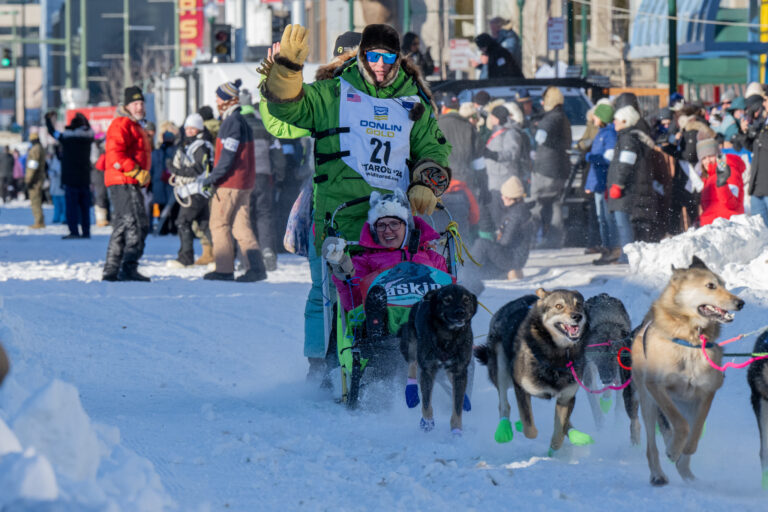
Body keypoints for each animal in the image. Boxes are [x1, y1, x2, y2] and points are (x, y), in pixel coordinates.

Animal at [400, 284, 476, 432]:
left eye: (466, 300)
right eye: (447, 300)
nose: (460, 312)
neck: (448, 337)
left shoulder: (460, 370)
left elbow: (457, 406)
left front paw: (456, 430)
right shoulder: (428, 370)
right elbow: (426, 401)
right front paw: (427, 421)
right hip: (412, 344)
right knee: (412, 364)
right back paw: (411, 393)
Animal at [474, 288, 588, 452]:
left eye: (578, 304)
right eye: (559, 306)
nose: (577, 316)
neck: (557, 355)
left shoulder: (566, 397)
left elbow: (559, 432)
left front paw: (555, 447)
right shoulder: (520, 388)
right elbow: (529, 428)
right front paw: (523, 426)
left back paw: (574, 432)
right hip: (501, 367)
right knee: (504, 404)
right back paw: (504, 429)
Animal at [632, 258, 744, 486]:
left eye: (724, 284)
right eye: (710, 286)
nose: (740, 303)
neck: (691, 341)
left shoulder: (706, 393)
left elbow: (696, 431)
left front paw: (683, 451)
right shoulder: (656, 387)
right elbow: (681, 425)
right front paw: (673, 450)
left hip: (686, 404)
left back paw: (688, 474)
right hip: (648, 403)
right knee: (652, 445)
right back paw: (658, 473)